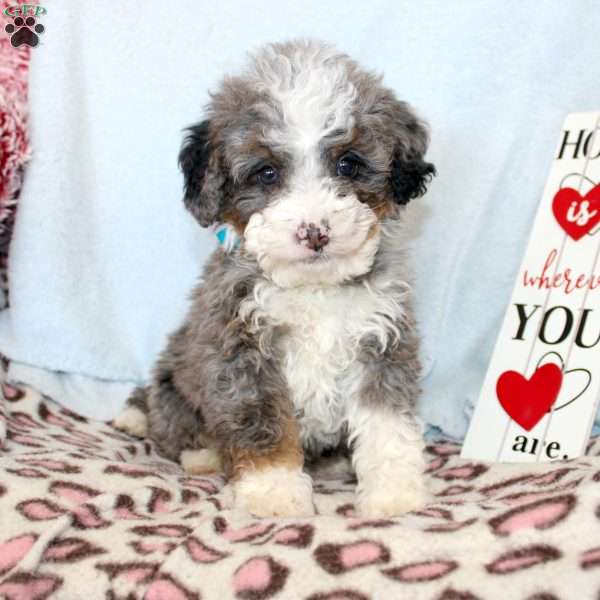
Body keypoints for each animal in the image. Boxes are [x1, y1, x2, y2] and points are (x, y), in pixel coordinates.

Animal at [115, 38, 436, 516]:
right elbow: (260, 421)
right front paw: (273, 491)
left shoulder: (381, 341)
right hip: (175, 383)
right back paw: (195, 450)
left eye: (348, 165)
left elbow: (386, 422)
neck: (315, 289)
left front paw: (394, 491)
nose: (315, 231)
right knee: (169, 422)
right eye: (266, 173)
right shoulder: (241, 349)